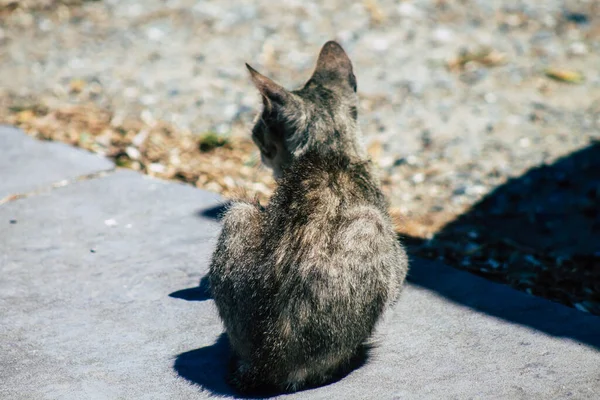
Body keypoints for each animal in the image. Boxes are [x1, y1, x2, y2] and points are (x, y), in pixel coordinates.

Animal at [209, 40, 410, 394]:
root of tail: (266, 359)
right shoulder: (400, 265)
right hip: (371, 226)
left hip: (238, 212)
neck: (328, 148)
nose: (259, 150)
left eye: (257, 136)